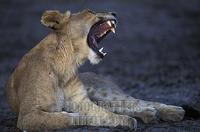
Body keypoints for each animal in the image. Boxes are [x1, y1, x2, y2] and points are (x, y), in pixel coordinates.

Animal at [5, 9, 184, 131]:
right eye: (90, 12)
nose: (114, 12)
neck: (67, 63)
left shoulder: (80, 100)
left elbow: (103, 114)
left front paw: (126, 121)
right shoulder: (27, 116)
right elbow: (65, 118)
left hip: (103, 92)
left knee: (135, 101)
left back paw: (174, 112)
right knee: (122, 105)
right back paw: (150, 114)